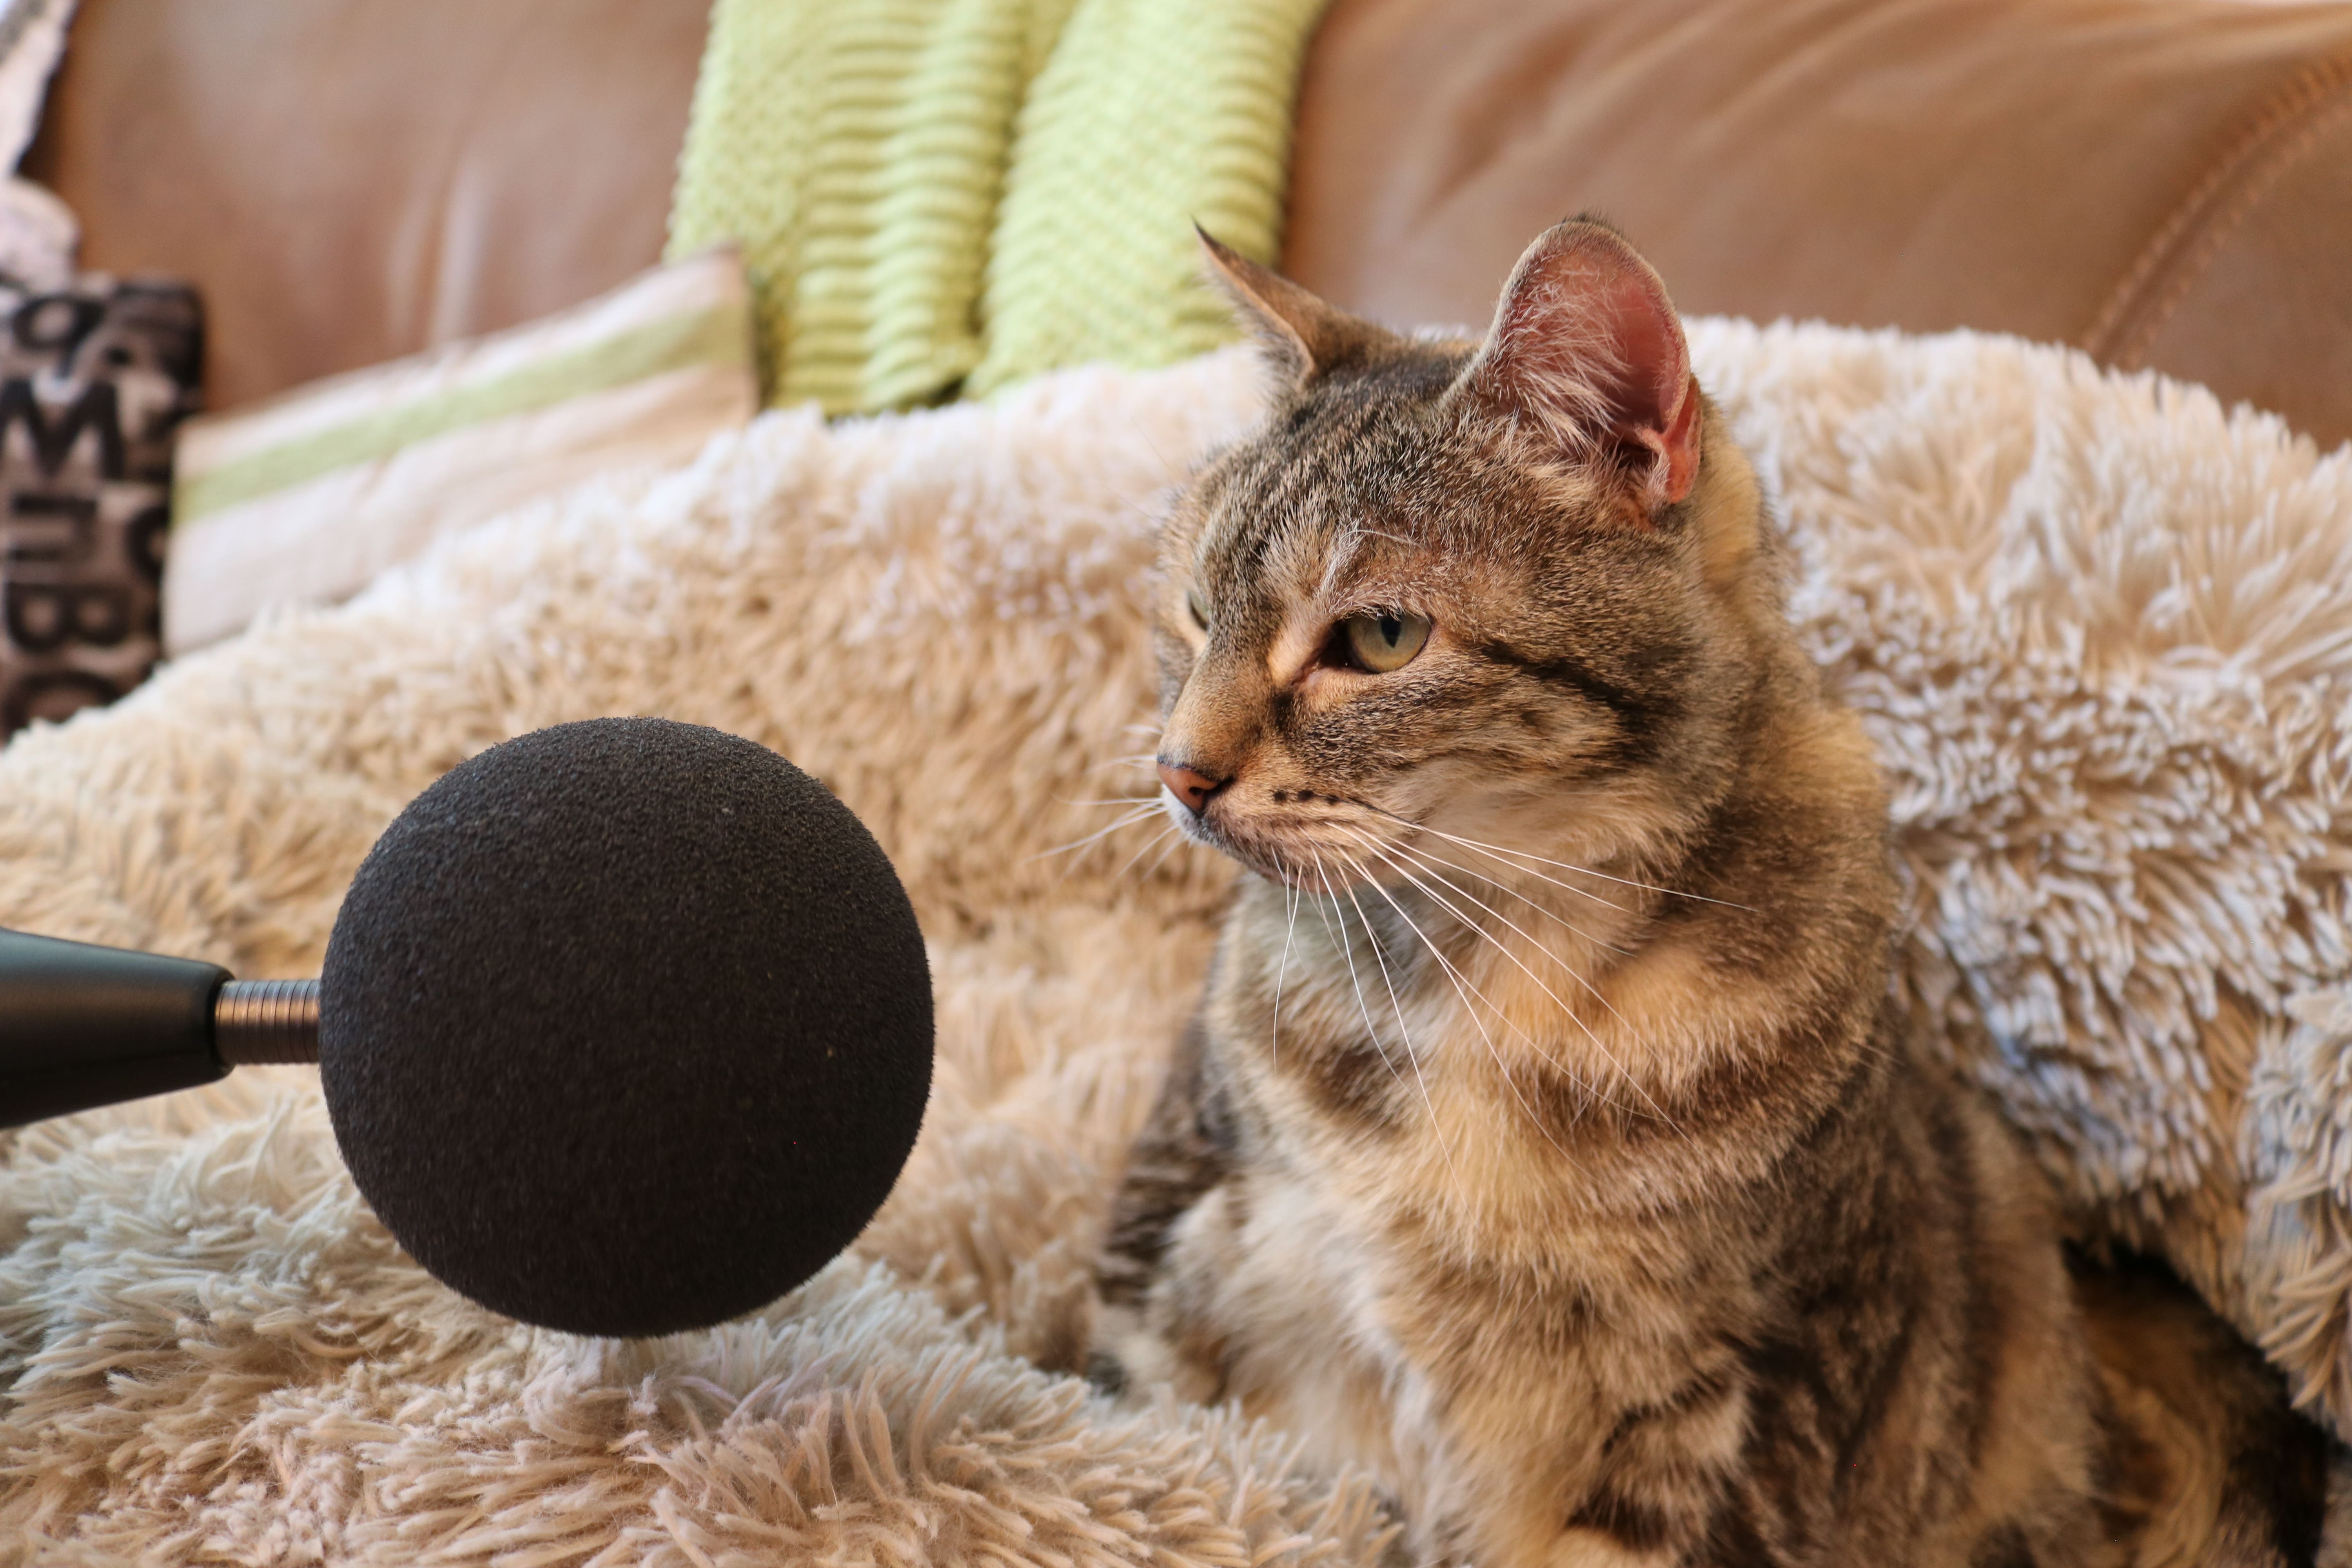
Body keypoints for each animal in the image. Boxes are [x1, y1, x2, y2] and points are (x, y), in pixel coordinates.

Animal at [1087, 221, 2333, 1568]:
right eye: (1193, 613)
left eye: (1378, 637)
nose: (1178, 773)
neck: (1493, 965)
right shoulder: (1172, 1245)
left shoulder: (1757, 1386)